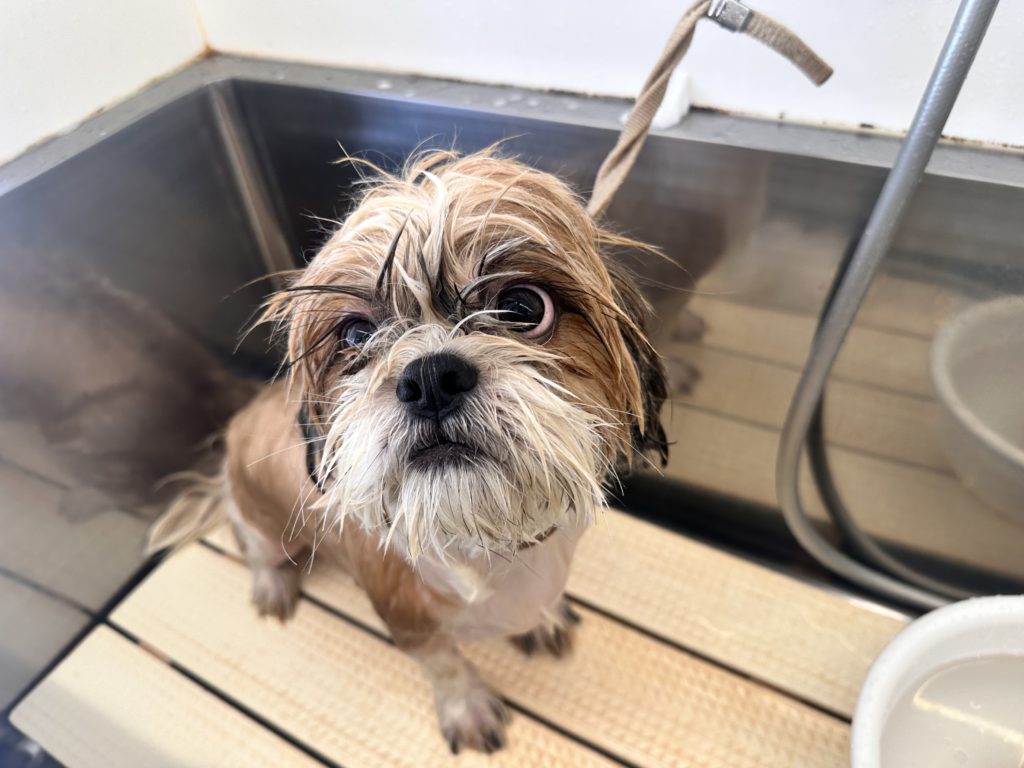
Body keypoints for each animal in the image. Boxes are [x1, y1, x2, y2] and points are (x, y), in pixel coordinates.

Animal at [148, 147, 668, 753]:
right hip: (261, 523)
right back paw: (272, 582)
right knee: (254, 544)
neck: (484, 542)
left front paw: (541, 619)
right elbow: (444, 665)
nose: (431, 378)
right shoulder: (407, 620)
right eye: (354, 335)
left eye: (522, 306)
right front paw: (466, 707)